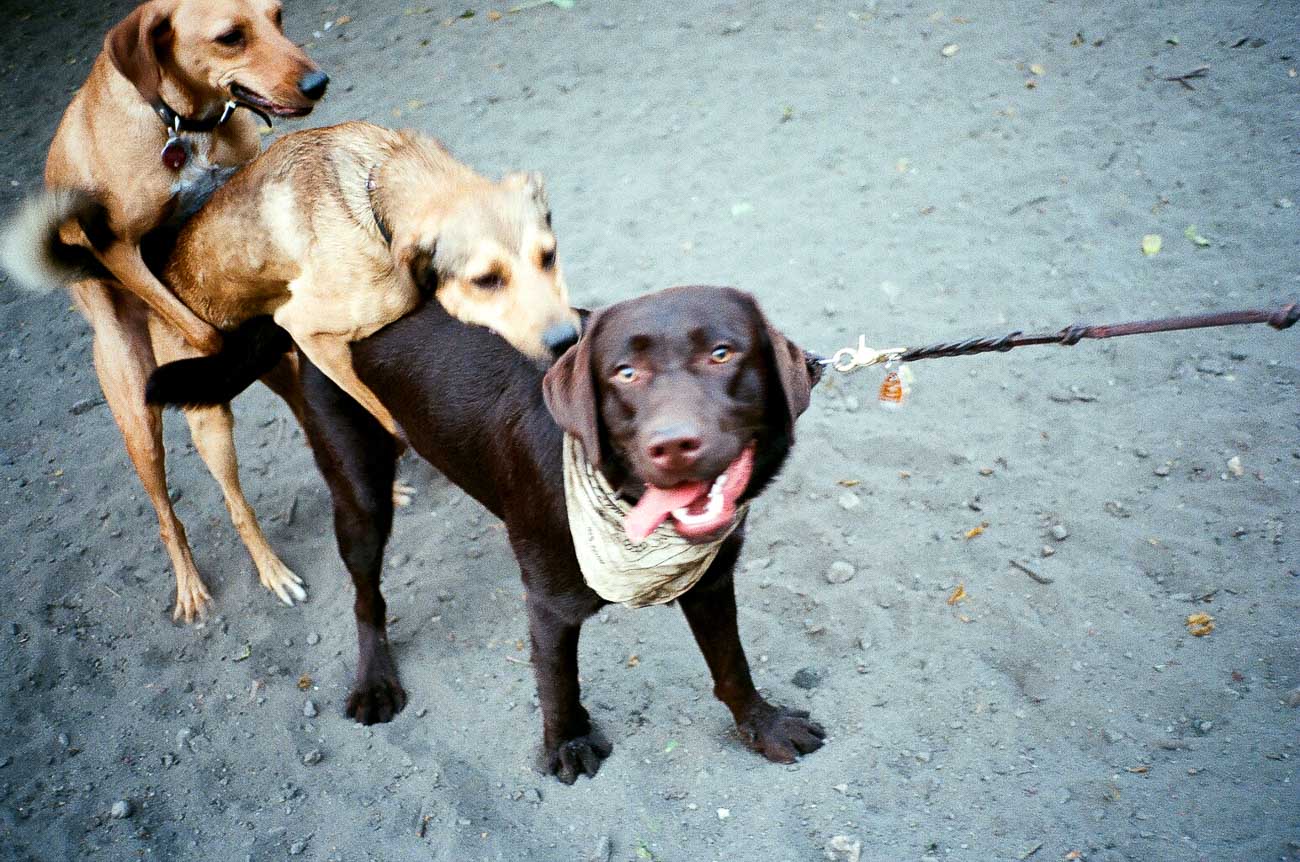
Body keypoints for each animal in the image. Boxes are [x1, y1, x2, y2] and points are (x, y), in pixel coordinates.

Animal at [3, 0, 325, 621]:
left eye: (278, 17)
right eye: (230, 37)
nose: (317, 83)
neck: (180, 127)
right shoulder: (119, 252)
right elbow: (201, 331)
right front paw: (219, 353)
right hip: (140, 424)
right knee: (176, 514)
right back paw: (202, 582)